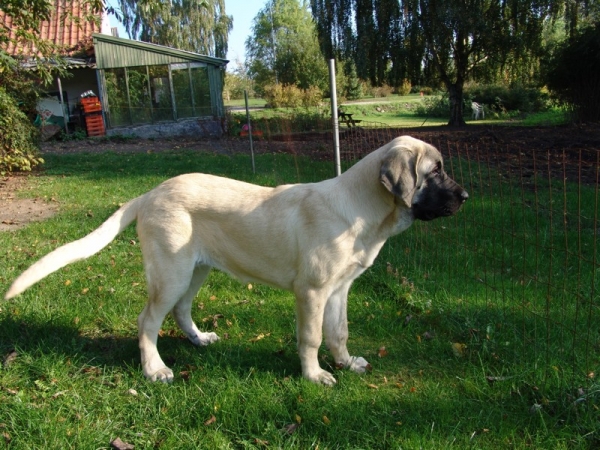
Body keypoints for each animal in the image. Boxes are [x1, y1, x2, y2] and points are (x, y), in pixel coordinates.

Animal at [7, 135, 472, 384]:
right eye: (435, 171)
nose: (466, 196)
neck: (363, 210)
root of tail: (151, 192)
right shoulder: (311, 292)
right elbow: (311, 337)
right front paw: (315, 375)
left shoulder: (340, 289)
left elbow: (338, 332)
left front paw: (346, 363)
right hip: (172, 272)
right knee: (148, 321)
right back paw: (155, 368)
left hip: (196, 269)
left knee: (180, 311)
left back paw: (199, 339)